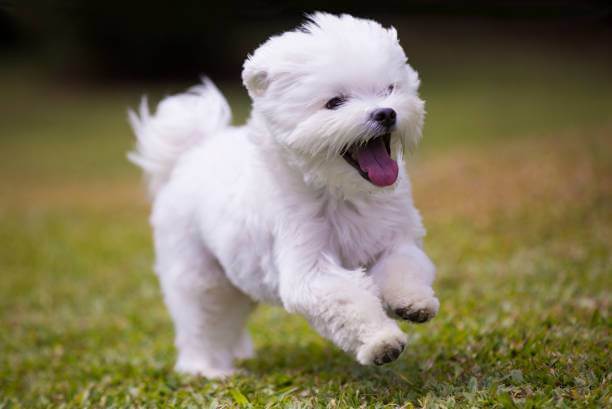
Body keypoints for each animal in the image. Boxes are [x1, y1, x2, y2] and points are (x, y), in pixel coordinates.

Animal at [128, 11, 440, 376]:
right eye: (335, 102)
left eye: (389, 88)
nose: (386, 113)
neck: (341, 192)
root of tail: (191, 152)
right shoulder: (309, 267)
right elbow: (348, 300)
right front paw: (381, 342)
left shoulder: (393, 239)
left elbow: (404, 268)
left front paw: (413, 302)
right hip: (199, 276)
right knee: (203, 322)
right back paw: (208, 370)